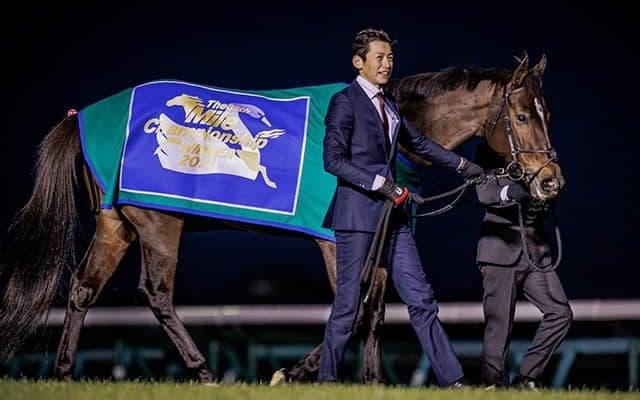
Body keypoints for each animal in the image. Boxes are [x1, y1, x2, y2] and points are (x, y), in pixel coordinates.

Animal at [0, 54, 560, 384]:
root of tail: (82, 118)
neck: (394, 132)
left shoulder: (385, 233)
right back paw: (202, 370)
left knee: (82, 289)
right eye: (523, 116)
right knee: (155, 293)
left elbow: (376, 311)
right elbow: (353, 308)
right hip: (159, 222)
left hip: (116, 223)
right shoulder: (337, 239)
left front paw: (374, 380)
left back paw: (64, 371)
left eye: (547, 112)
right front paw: (292, 373)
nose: (550, 181)